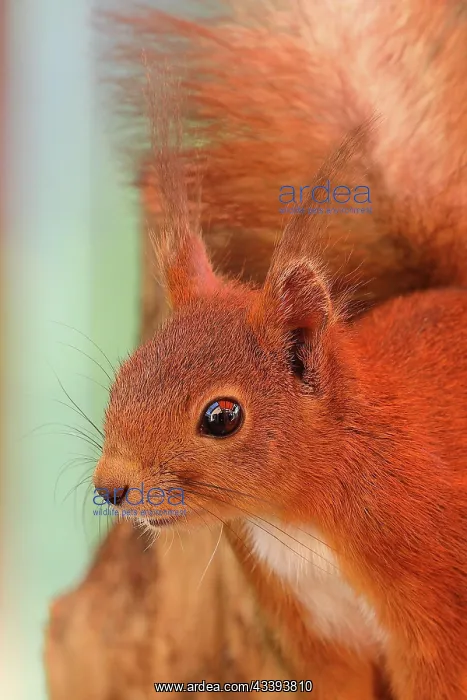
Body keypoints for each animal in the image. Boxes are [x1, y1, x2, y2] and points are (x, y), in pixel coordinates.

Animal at [94, 1, 467, 699]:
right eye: (121, 378)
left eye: (222, 416)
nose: (109, 488)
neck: (298, 514)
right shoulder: (312, 632)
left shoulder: (438, 610)